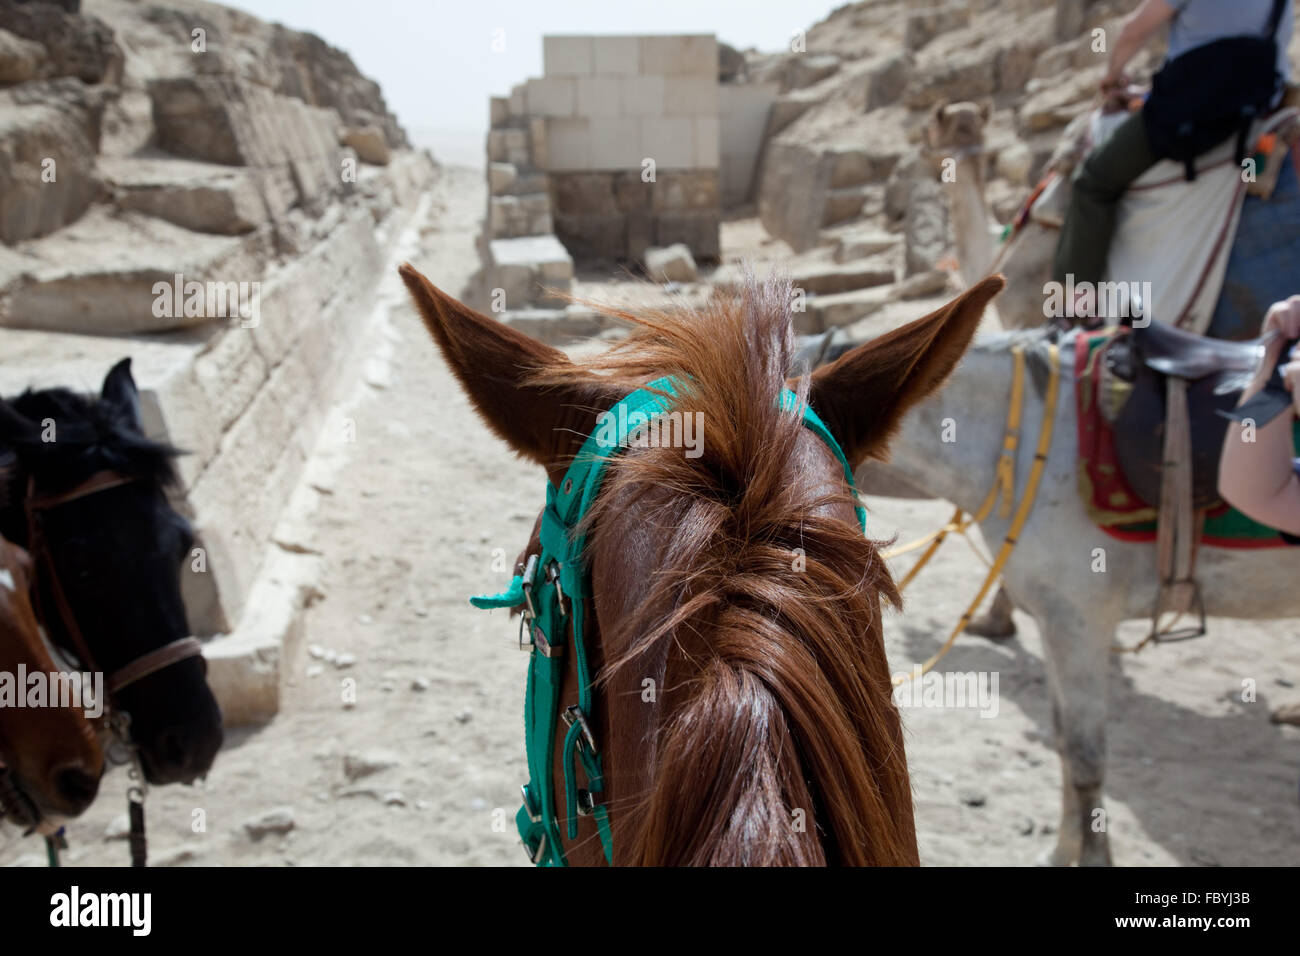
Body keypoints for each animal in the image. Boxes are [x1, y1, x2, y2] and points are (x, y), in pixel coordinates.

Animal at [878, 330, 1294, 868]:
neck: (1019, 446)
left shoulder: (1080, 624)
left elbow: (1084, 757)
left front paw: (1093, 857)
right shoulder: (1053, 622)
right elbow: (1060, 740)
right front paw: (1062, 851)